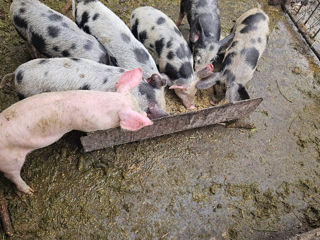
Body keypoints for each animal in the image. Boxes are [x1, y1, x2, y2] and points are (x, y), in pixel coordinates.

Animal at [0, 67, 152, 193]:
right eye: (139, 110)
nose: (146, 114)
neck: (107, 103)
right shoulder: (92, 123)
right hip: (11, 160)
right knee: (12, 175)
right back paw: (30, 191)